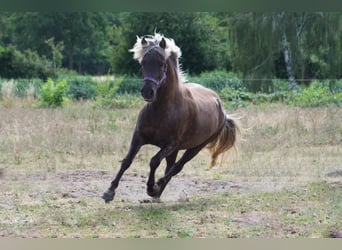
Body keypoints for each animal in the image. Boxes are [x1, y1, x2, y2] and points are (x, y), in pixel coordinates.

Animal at [103, 32, 239, 203]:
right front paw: (109, 192)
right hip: (176, 150)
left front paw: (151, 187)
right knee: (170, 166)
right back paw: (157, 193)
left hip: (195, 147)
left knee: (176, 167)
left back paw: (156, 189)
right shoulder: (139, 136)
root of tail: (221, 108)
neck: (162, 110)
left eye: (161, 64)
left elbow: (154, 161)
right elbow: (127, 161)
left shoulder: (170, 144)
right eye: (143, 63)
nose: (148, 92)